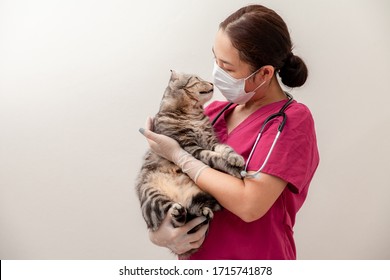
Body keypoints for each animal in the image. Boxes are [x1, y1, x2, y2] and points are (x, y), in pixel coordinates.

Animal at [135, 70, 244, 258]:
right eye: (197, 79)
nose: (212, 83)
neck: (193, 114)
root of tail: (181, 200)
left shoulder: (211, 140)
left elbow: (225, 149)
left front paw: (235, 158)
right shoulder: (191, 148)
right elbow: (214, 157)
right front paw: (232, 167)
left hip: (203, 196)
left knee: (192, 214)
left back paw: (204, 212)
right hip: (153, 197)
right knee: (177, 222)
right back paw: (178, 212)